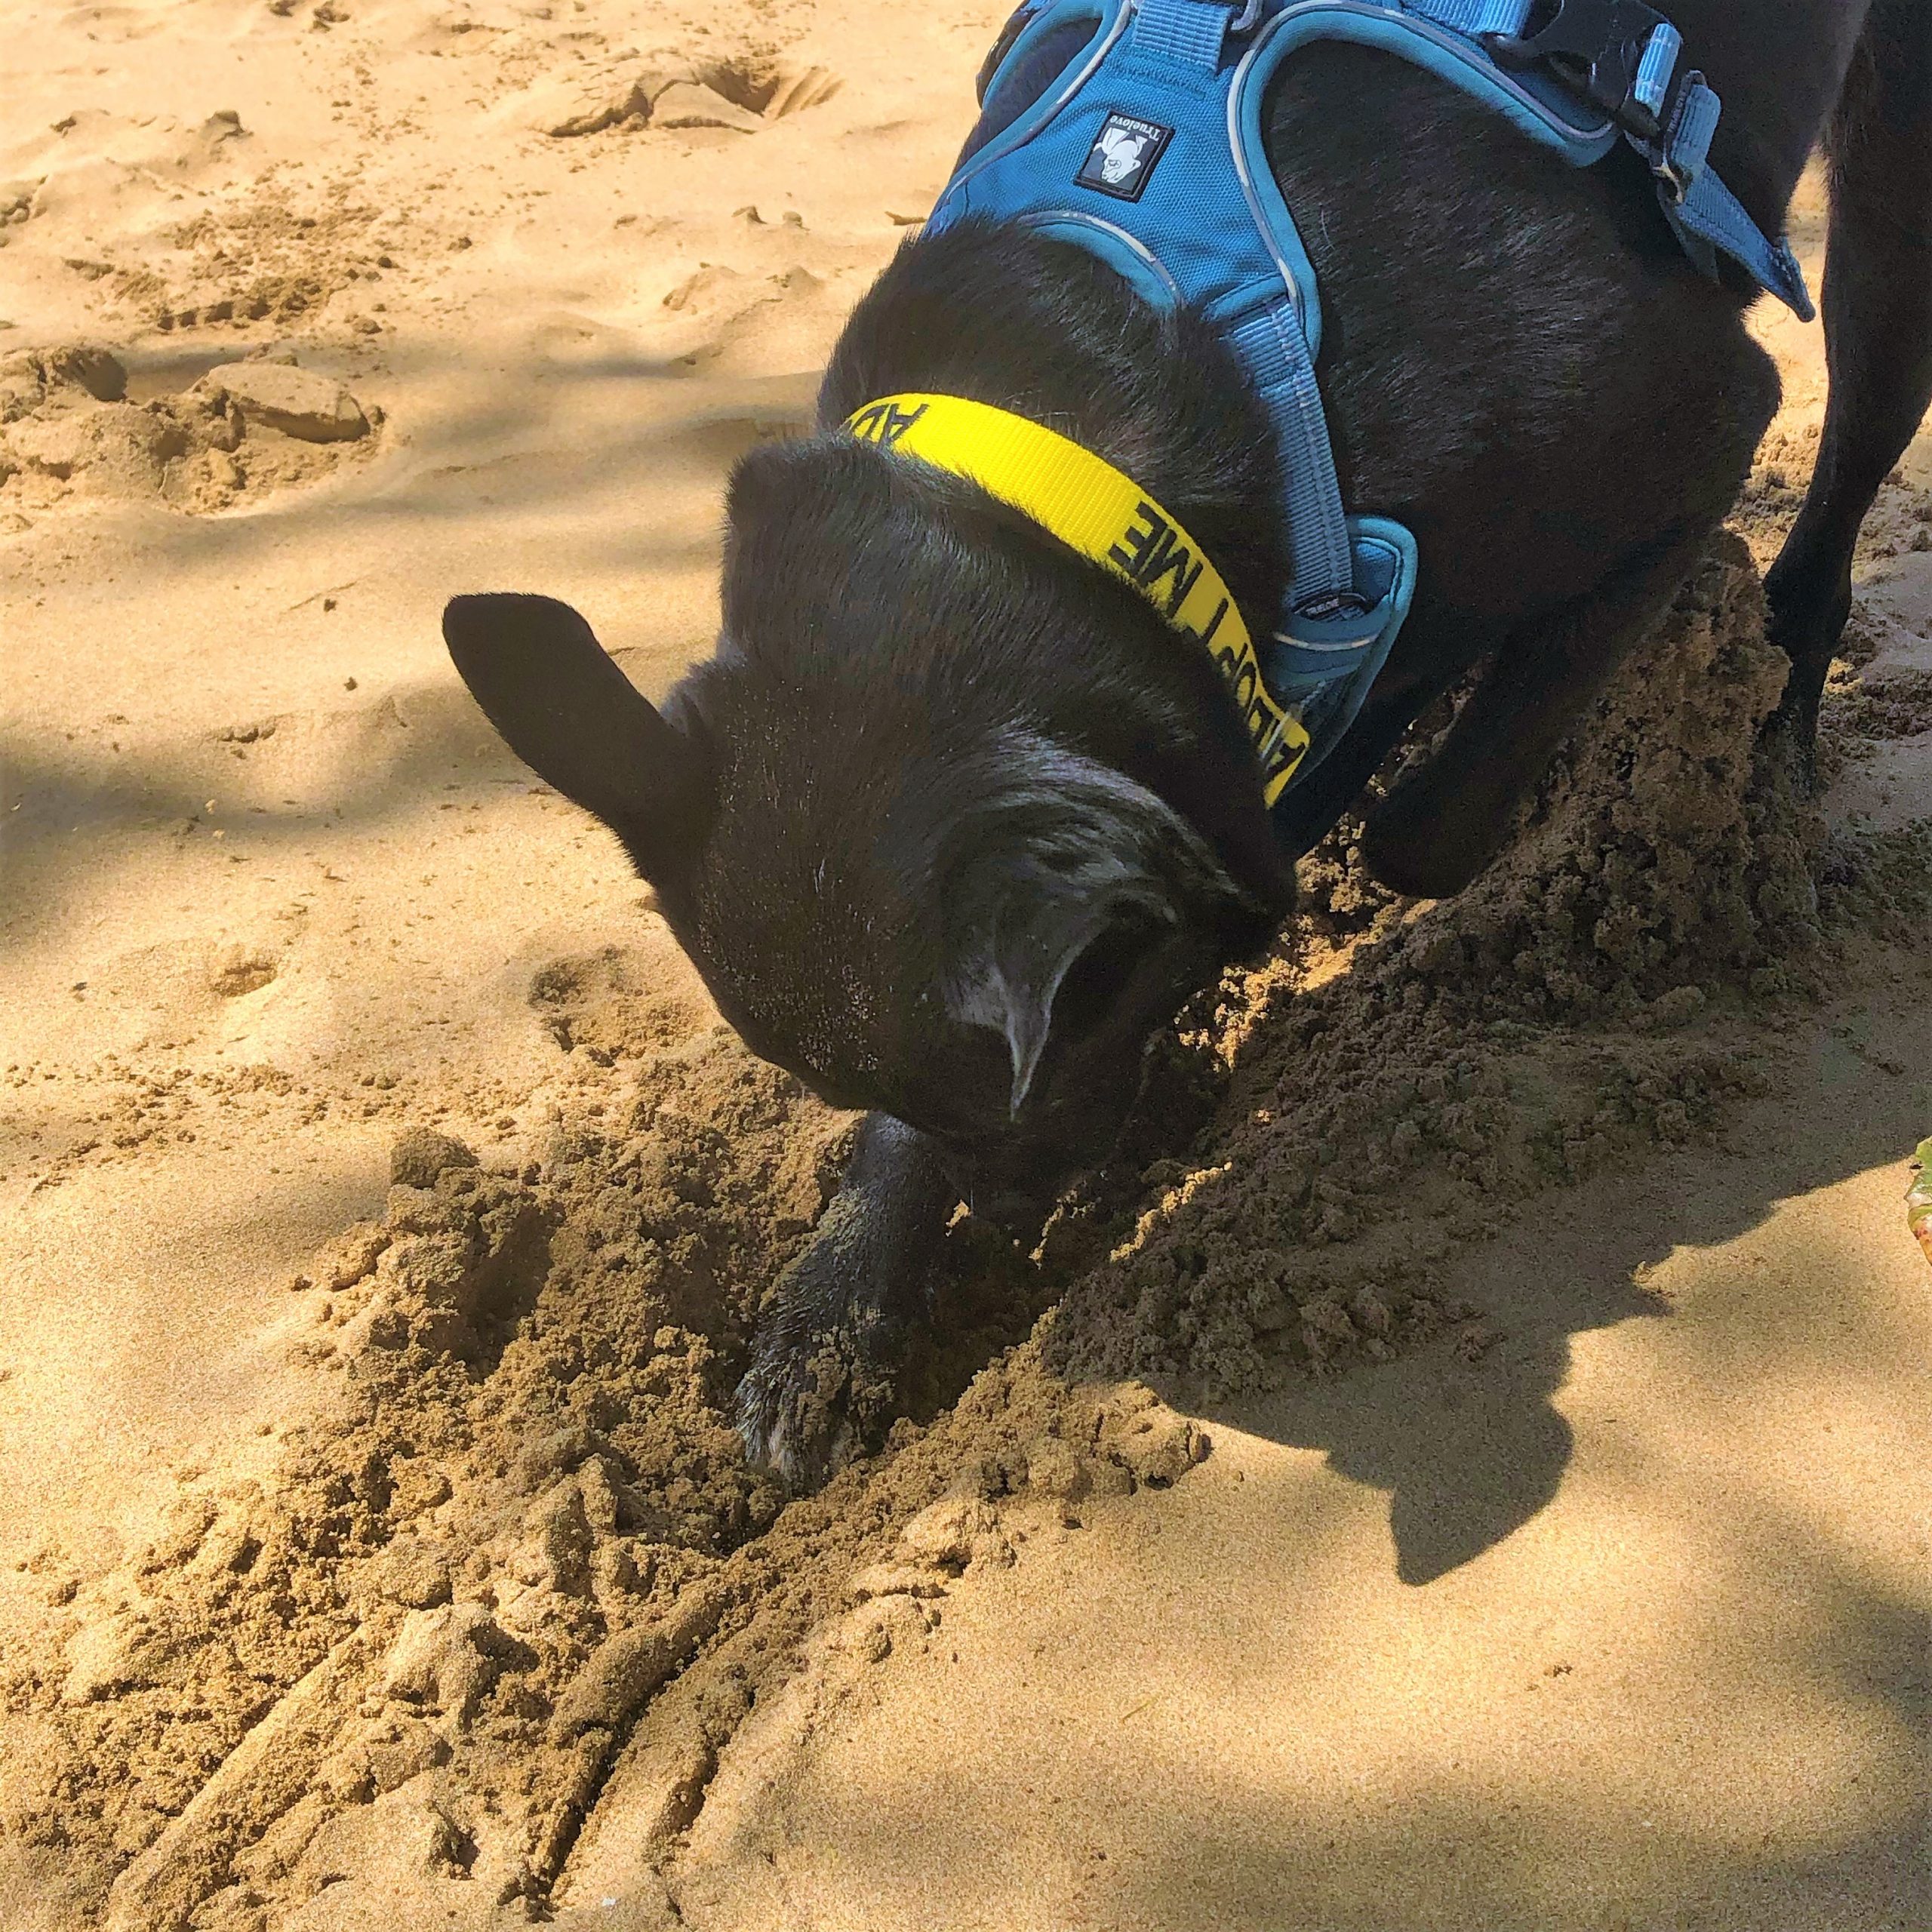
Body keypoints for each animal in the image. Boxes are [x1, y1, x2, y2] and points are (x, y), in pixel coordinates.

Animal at [448, 0, 1932, 1484]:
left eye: (1052, 1065)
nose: (1017, 1217)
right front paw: (839, 1304)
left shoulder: (1703, 429)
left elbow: (1413, 831)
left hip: (1885, 215)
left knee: (1833, 511)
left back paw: (1771, 747)